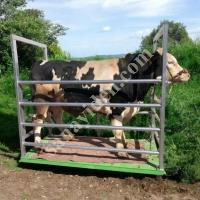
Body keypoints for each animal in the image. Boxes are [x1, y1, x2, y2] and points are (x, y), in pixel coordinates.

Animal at [30, 48, 190, 153]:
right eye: (170, 62)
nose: (187, 74)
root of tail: (39, 63)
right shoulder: (117, 108)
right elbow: (118, 130)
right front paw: (121, 152)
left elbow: (121, 131)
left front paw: (124, 145)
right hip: (42, 100)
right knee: (37, 119)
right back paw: (38, 144)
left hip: (58, 101)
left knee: (56, 116)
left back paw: (67, 136)